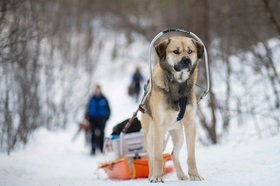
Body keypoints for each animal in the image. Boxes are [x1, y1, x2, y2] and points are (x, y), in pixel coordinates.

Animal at [141, 36, 205, 182]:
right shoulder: (159, 127)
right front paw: (157, 177)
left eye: (190, 51)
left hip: (178, 135)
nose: (186, 60)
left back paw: (181, 175)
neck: (178, 86)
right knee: (151, 156)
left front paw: (194, 174)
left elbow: (191, 156)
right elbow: (157, 157)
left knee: (173, 153)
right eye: (176, 51)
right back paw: (151, 175)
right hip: (150, 136)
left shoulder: (190, 124)